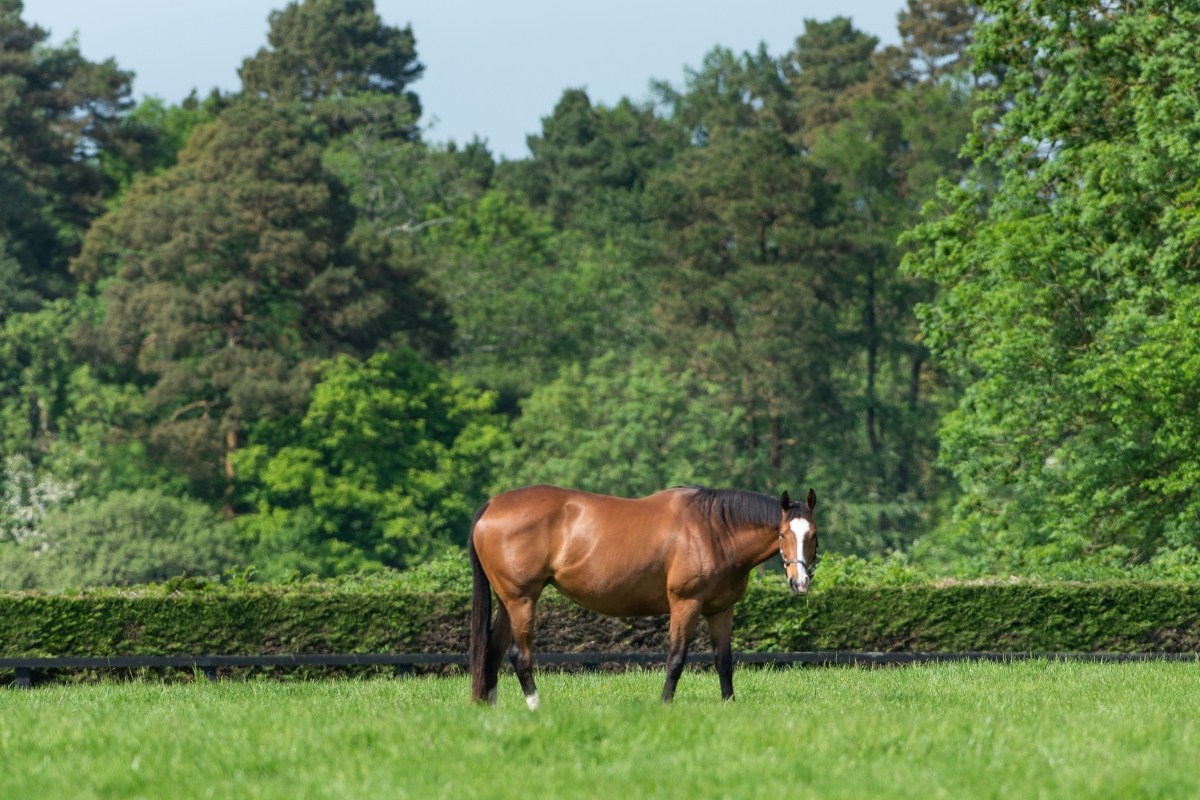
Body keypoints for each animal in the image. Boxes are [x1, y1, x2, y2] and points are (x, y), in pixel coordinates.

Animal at [467, 484, 818, 707]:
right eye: (782, 534)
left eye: (812, 535)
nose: (799, 582)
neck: (713, 530)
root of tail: (492, 505)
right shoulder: (685, 604)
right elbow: (676, 658)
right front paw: (665, 704)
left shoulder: (720, 610)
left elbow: (724, 661)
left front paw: (729, 704)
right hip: (522, 601)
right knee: (519, 655)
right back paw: (535, 706)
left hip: (508, 602)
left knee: (493, 651)